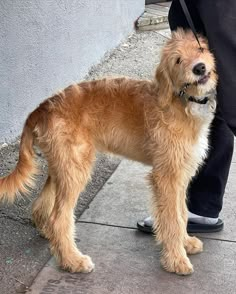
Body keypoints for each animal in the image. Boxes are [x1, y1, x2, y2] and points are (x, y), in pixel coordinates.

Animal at [0, 28, 218, 274]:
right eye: (178, 60)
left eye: (200, 49)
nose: (199, 68)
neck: (180, 101)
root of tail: (42, 107)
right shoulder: (167, 176)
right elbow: (173, 218)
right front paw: (176, 260)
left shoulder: (181, 173)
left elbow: (181, 213)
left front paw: (186, 243)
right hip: (76, 169)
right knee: (59, 217)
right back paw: (72, 260)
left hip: (63, 166)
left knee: (42, 205)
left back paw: (53, 238)